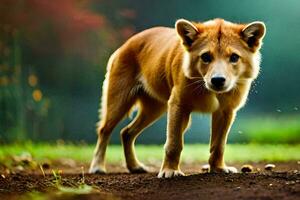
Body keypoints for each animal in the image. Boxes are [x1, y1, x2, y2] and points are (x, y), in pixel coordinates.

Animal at [88, 18, 264, 178]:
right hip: (119, 103)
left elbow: (218, 145)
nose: (218, 80)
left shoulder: (226, 112)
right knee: (104, 130)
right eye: (206, 57)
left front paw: (218, 168)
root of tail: (126, 43)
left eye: (234, 57)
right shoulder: (178, 106)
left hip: (155, 109)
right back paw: (97, 167)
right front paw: (170, 171)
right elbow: (174, 144)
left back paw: (135, 167)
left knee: (126, 132)